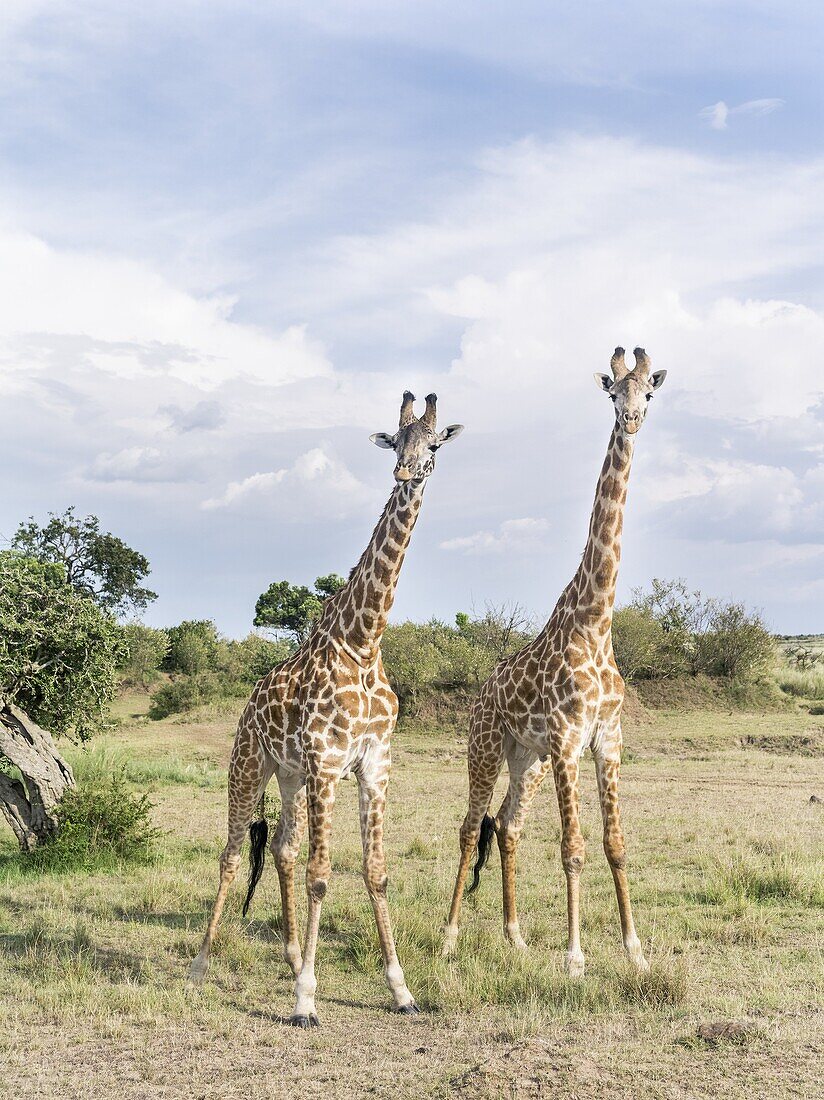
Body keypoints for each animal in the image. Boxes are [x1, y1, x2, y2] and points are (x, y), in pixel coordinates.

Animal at [188, 391, 462, 1025]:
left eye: (434, 442)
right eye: (396, 439)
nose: (406, 473)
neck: (364, 641)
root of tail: (246, 709)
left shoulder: (373, 763)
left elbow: (376, 872)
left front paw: (401, 990)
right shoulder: (327, 761)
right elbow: (320, 876)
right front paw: (307, 1000)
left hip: (289, 776)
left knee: (282, 849)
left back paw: (291, 957)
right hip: (249, 767)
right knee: (232, 854)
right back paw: (202, 966)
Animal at [440, 347, 664, 976]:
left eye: (649, 393)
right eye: (613, 391)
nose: (632, 419)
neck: (596, 620)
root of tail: (479, 695)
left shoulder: (606, 738)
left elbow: (615, 844)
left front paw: (635, 951)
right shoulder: (568, 739)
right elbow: (573, 848)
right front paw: (574, 958)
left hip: (528, 760)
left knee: (507, 824)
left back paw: (514, 936)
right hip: (487, 746)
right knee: (470, 825)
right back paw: (449, 938)